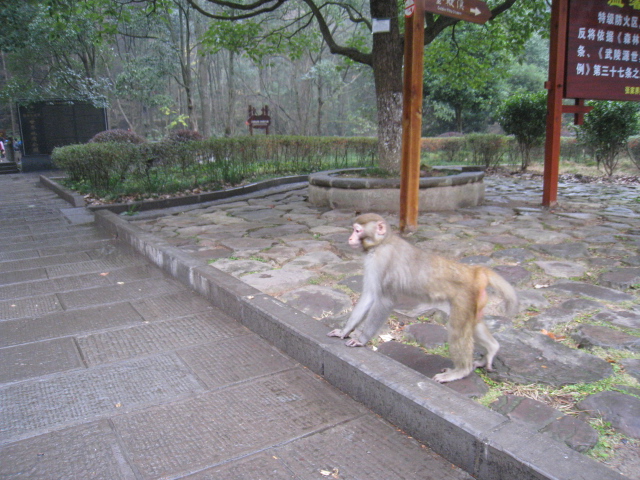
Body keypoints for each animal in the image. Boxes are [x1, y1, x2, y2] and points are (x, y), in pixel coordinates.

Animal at [328, 213, 516, 382]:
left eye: (357, 230)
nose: (350, 238)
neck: (382, 243)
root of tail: (474, 272)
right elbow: (369, 296)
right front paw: (345, 331)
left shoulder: (381, 260)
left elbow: (384, 301)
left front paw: (361, 339)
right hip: (476, 298)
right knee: (473, 323)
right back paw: (492, 348)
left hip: (465, 295)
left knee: (457, 328)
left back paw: (461, 371)